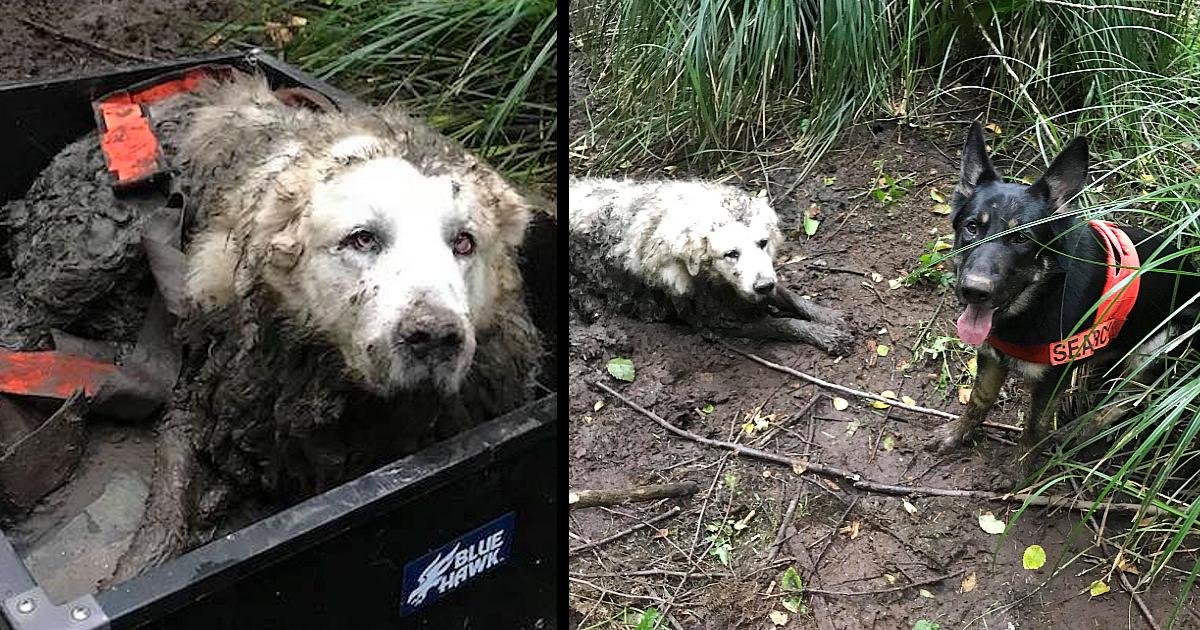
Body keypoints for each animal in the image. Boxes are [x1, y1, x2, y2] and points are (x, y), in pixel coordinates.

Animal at [0, 72, 542, 580]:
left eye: (464, 242)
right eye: (362, 238)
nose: (433, 336)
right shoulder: (198, 399)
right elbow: (163, 520)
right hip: (87, 256)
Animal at [566, 177, 849, 352]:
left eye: (763, 242)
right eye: (731, 253)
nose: (762, 286)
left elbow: (789, 295)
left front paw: (828, 316)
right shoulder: (717, 320)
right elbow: (780, 324)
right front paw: (824, 334)